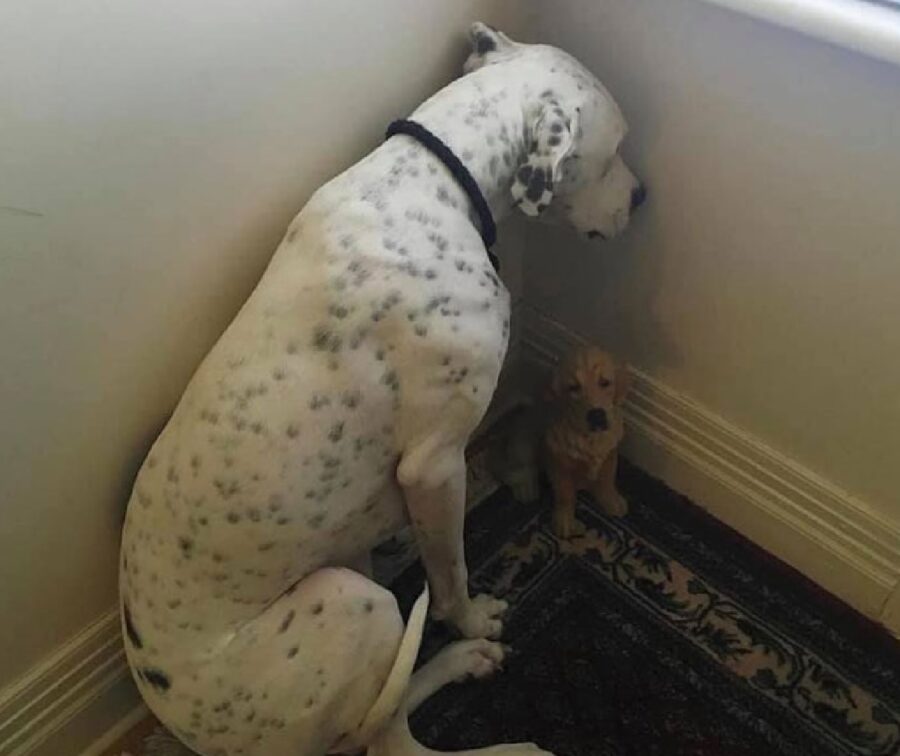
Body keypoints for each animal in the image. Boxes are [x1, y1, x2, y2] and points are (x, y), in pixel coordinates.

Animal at [540, 346, 632, 536]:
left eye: (605, 382)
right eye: (573, 388)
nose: (597, 415)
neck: (591, 438)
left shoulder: (610, 454)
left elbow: (607, 480)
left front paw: (612, 501)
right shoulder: (558, 462)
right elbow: (565, 493)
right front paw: (565, 521)